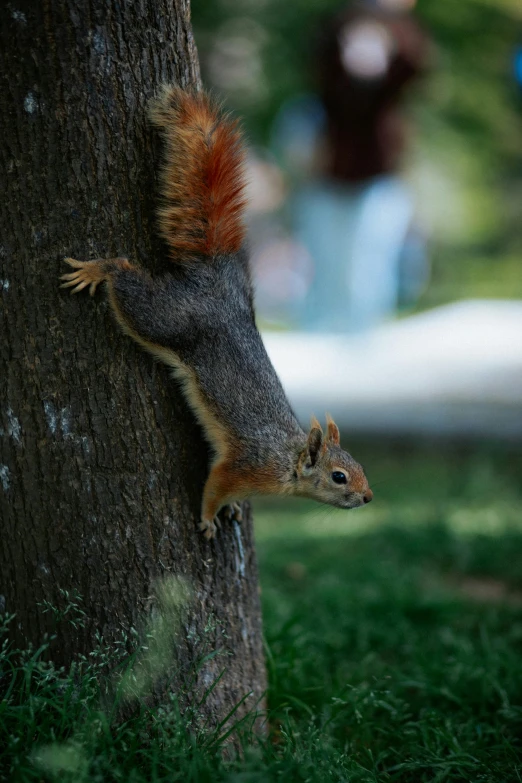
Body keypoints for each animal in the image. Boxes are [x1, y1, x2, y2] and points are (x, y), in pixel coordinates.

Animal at [60, 86, 370, 540]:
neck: (287, 461)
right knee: (127, 283)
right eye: (339, 477)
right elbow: (214, 486)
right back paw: (100, 269)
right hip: (164, 317)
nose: (368, 497)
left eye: (358, 466)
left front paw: (233, 510)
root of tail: (215, 278)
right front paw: (209, 518)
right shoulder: (243, 467)